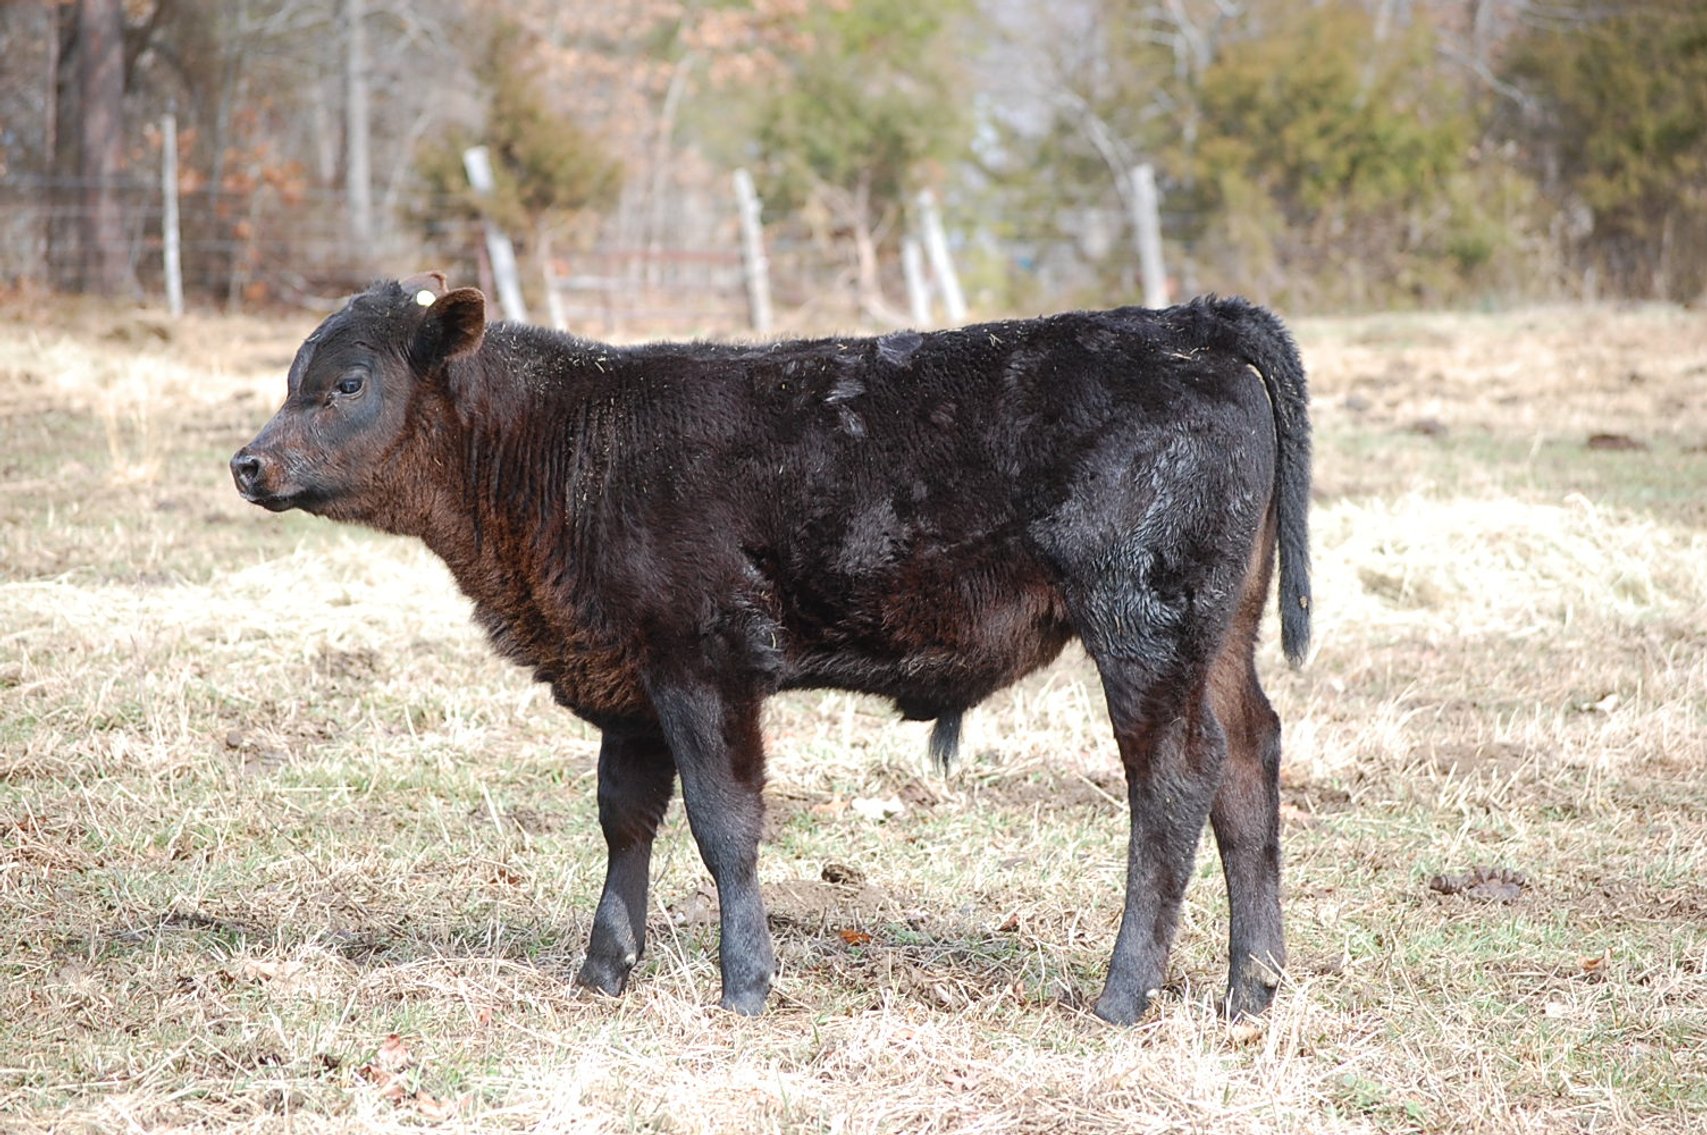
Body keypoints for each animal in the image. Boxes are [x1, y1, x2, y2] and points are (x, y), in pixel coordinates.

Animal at [231, 273, 1311, 1025]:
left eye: (347, 383)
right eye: (292, 379)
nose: (248, 463)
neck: (571, 446)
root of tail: (1184, 323)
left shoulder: (704, 662)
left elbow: (724, 823)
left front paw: (744, 983)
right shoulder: (625, 677)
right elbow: (625, 818)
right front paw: (601, 971)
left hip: (1144, 624)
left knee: (1175, 779)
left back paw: (1123, 995)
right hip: (1221, 633)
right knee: (1250, 762)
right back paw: (1250, 989)